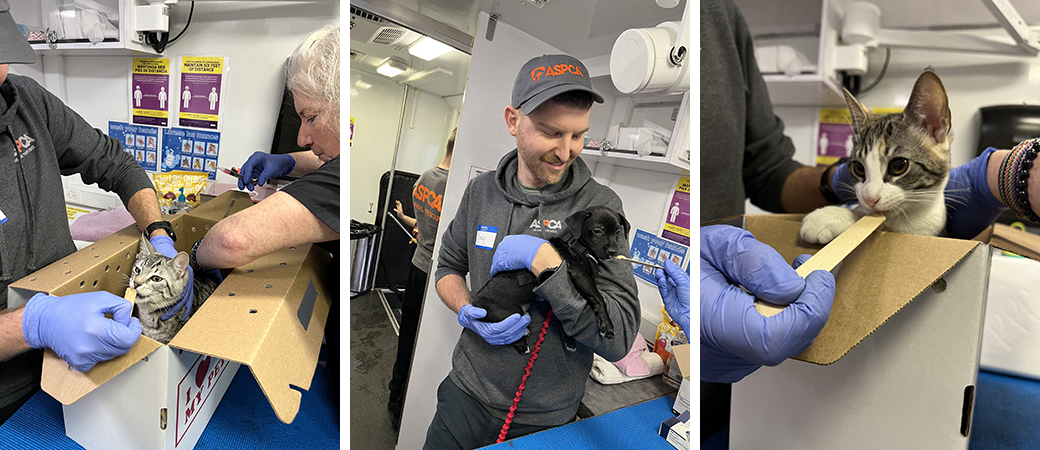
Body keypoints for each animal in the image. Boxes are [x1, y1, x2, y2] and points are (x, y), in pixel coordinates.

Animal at [470, 204, 628, 353]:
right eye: (597, 231)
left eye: (618, 232)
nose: (614, 252)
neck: (578, 247)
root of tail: (475, 306)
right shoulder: (580, 275)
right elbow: (599, 298)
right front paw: (608, 326)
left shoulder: (583, 285)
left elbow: (587, 306)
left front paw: (571, 340)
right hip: (506, 314)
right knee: (508, 336)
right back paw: (522, 345)